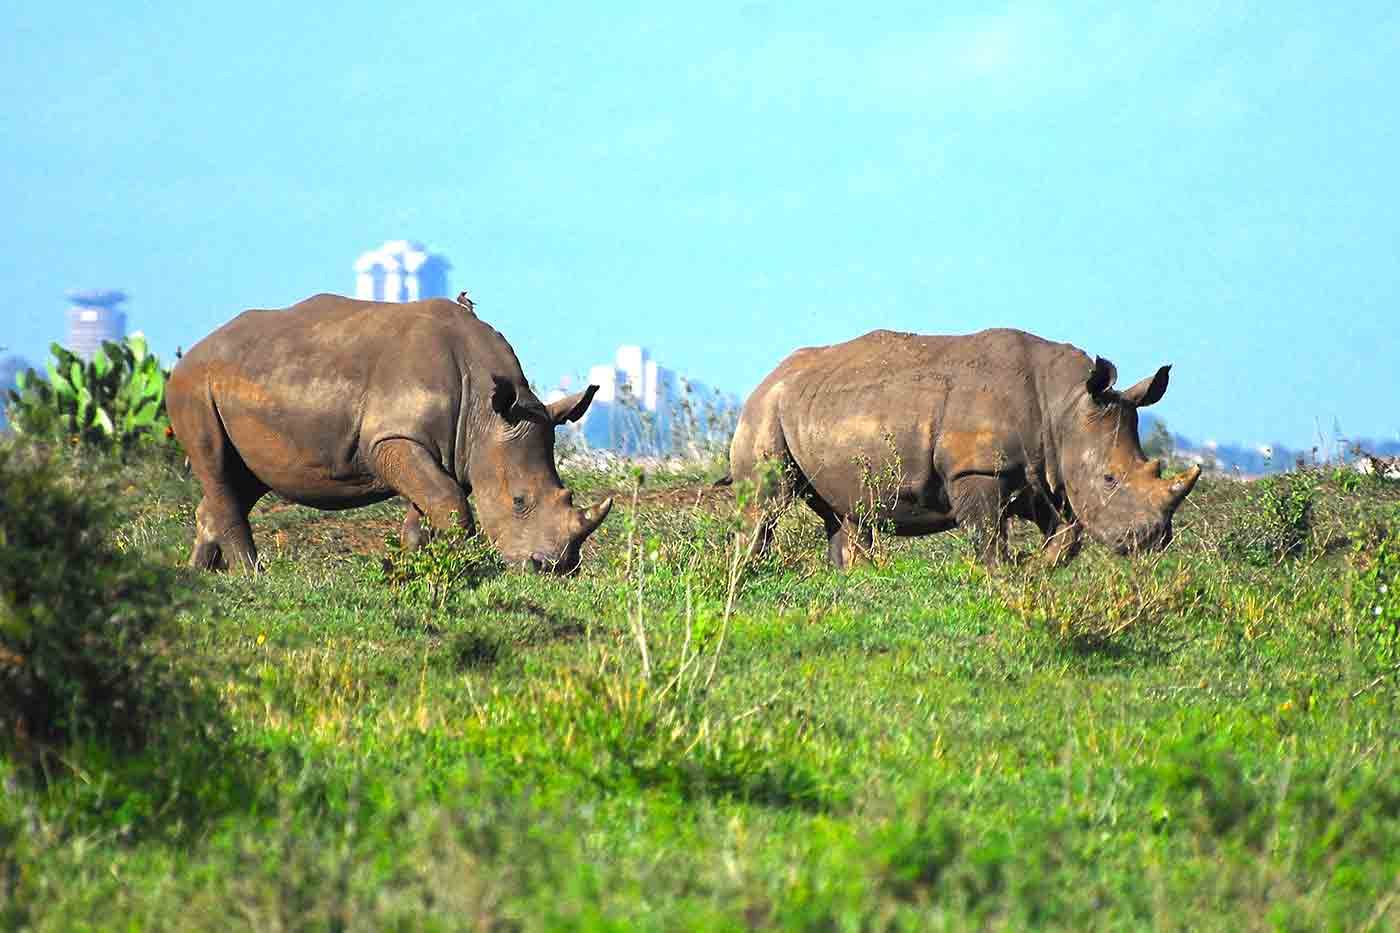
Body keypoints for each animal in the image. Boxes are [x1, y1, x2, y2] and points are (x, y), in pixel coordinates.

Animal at [166, 294, 610, 571]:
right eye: (519, 502)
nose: (555, 569)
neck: (485, 413)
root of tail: (191, 352)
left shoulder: (444, 446)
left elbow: (429, 507)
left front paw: (417, 564)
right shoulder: (394, 438)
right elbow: (448, 501)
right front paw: (459, 564)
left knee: (243, 478)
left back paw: (201, 575)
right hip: (194, 386)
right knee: (217, 466)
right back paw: (251, 575)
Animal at [728, 326, 1198, 565]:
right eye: (1109, 478)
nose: (1152, 541)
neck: (1063, 405)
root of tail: (769, 375)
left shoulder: (1047, 474)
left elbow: (1066, 537)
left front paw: (1034, 570)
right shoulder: (978, 468)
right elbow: (988, 537)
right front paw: (1002, 576)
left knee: (845, 513)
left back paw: (855, 581)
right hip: (766, 408)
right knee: (766, 502)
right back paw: (749, 573)